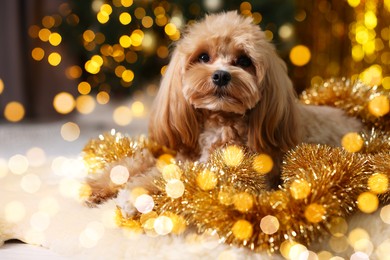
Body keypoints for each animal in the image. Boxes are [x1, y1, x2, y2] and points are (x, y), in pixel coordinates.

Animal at [86, 11, 362, 204]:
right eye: (203, 57)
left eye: (244, 61)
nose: (220, 75)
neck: (219, 121)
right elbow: (140, 160)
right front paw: (101, 184)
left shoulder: (233, 173)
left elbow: (172, 175)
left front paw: (132, 195)